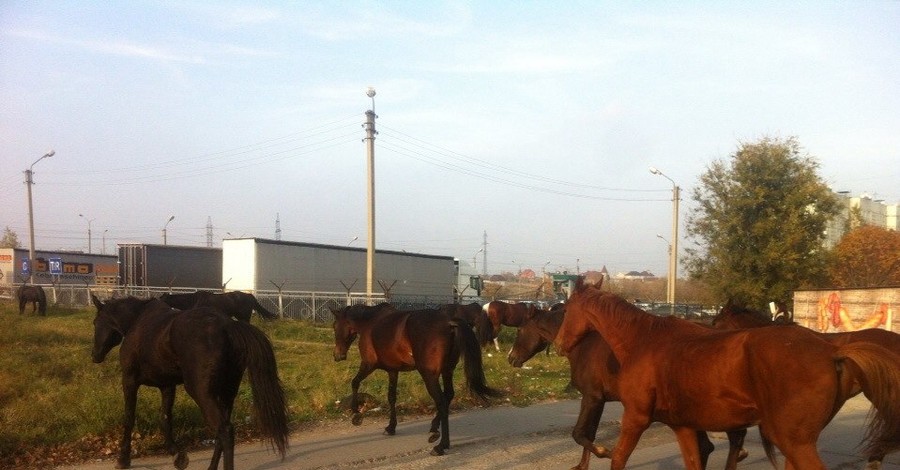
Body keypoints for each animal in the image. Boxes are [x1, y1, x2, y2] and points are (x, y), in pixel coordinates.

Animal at [91, 296, 288, 468]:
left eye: (95, 322)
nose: (95, 355)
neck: (138, 321)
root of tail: (228, 326)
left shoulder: (129, 381)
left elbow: (129, 418)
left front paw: (123, 459)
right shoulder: (167, 386)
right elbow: (165, 418)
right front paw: (177, 456)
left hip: (201, 392)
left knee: (225, 431)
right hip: (226, 393)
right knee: (220, 432)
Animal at [330, 302, 502, 454]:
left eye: (334, 326)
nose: (338, 355)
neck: (370, 323)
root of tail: (449, 323)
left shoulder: (368, 364)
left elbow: (355, 382)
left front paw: (355, 414)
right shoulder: (393, 371)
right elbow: (391, 397)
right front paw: (391, 427)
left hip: (429, 375)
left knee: (441, 401)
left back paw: (441, 445)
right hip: (447, 371)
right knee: (448, 395)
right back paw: (434, 429)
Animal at [510, 304, 748, 470]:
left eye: (520, 330)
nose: (511, 358)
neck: (582, 343)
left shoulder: (592, 397)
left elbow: (580, 433)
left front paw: (606, 452)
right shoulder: (596, 399)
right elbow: (588, 434)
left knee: (729, 437)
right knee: (710, 445)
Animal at [556, 280, 900, 470]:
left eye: (567, 309)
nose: (560, 344)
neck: (644, 341)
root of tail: (832, 351)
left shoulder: (636, 417)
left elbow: (617, 459)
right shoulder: (683, 426)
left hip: (793, 439)